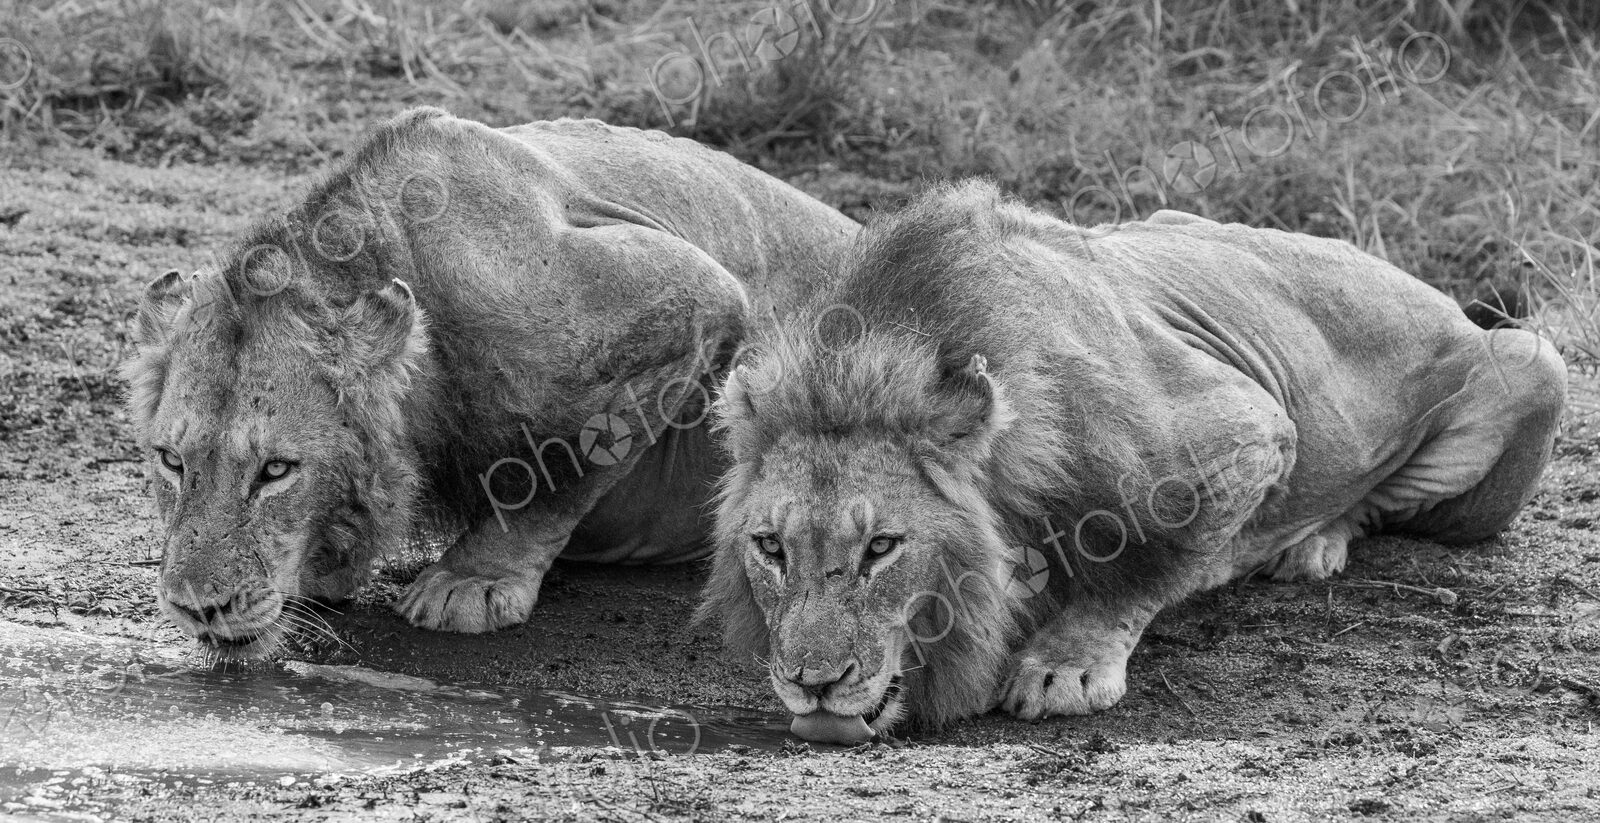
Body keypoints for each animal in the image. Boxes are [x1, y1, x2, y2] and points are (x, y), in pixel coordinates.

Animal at [122, 106, 857, 659]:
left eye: (276, 470)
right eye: (171, 461)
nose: (199, 607)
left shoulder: (694, 299)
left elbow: (564, 465)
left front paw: (470, 583)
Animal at [701, 181, 1566, 743]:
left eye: (881, 547)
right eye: (771, 548)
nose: (812, 682)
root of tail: (1428, 288)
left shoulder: (1244, 426)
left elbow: (1149, 560)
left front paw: (1068, 664)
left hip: (1534, 358)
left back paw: (1302, 543)